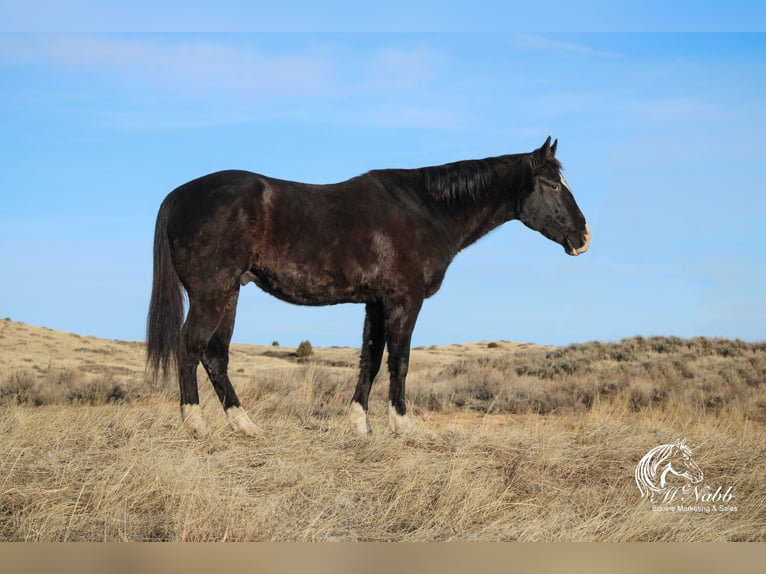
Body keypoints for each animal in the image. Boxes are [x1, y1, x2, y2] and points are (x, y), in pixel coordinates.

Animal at [147, 138, 592, 436]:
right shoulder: (403, 302)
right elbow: (400, 361)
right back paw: (196, 423)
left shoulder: (375, 304)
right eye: (553, 185)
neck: (425, 210)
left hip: (231, 293)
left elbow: (371, 360)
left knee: (215, 357)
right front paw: (402, 424)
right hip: (212, 293)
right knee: (190, 347)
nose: (583, 237)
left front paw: (360, 423)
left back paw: (245, 425)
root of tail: (179, 195)